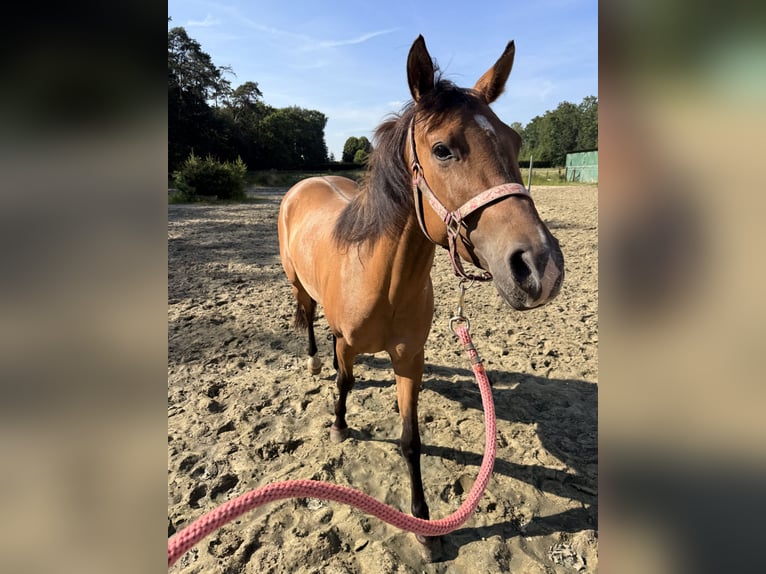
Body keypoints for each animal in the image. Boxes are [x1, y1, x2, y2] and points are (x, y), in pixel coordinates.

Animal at [278, 35, 564, 547]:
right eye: (443, 149)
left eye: (514, 141)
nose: (540, 266)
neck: (382, 279)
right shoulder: (349, 345)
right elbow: (345, 382)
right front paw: (338, 425)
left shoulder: (410, 358)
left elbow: (411, 440)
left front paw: (424, 524)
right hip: (298, 286)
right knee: (310, 319)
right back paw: (314, 359)